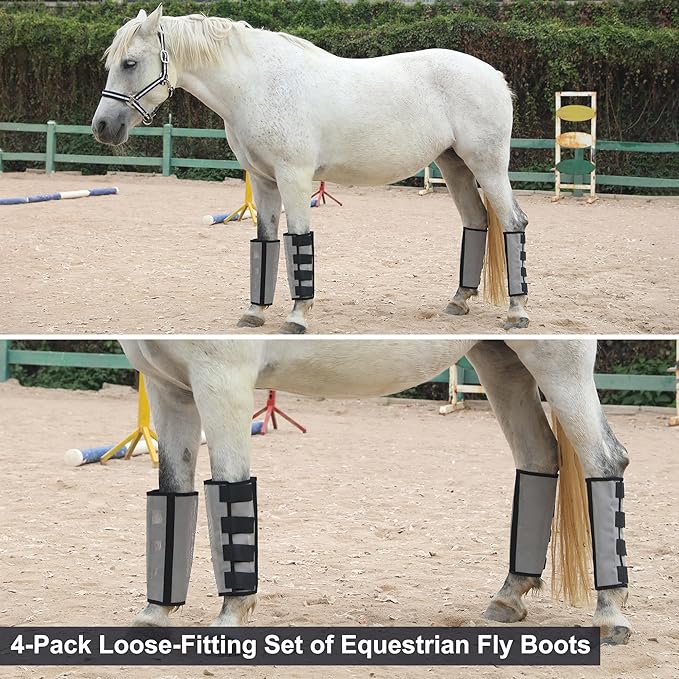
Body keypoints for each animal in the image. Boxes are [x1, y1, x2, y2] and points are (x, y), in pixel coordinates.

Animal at [93, 6, 531, 334]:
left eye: (130, 63)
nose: (102, 127)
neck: (257, 84)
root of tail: (494, 75)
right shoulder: (264, 181)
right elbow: (266, 242)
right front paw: (255, 313)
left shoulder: (294, 177)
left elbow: (299, 240)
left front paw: (297, 317)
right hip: (454, 166)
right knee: (476, 221)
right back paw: (459, 301)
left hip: (488, 167)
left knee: (513, 223)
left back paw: (517, 312)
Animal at [120, 338, 632, 645]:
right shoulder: (169, 390)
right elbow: (173, 492)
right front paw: (155, 616)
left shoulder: (221, 381)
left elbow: (229, 492)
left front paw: (230, 618)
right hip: (501, 363)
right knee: (538, 458)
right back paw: (509, 596)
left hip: (557, 363)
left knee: (605, 460)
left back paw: (611, 616)